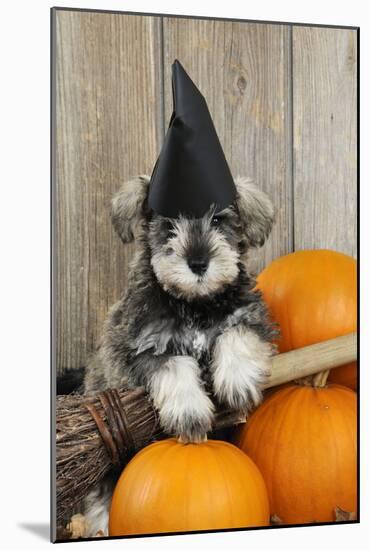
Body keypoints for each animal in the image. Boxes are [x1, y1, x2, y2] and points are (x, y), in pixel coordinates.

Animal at [81, 175, 276, 536]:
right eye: (168, 224)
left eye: (219, 220)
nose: (198, 263)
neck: (195, 304)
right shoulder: (138, 348)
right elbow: (174, 366)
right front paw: (190, 411)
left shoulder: (253, 318)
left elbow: (236, 334)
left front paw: (238, 381)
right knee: (103, 488)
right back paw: (99, 525)